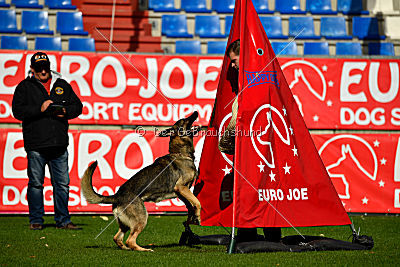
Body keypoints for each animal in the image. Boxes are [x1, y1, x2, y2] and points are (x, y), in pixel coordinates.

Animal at [80, 111, 200, 253]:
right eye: (184, 120)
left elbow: (190, 205)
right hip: (142, 218)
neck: (180, 153)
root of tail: (117, 196)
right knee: (130, 240)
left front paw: (191, 218)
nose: (196, 112)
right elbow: (197, 202)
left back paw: (126, 248)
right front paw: (198, 217)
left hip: (126, 224)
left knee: (117, 238)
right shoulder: (181, 188)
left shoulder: (181, 192)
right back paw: (144, 249)